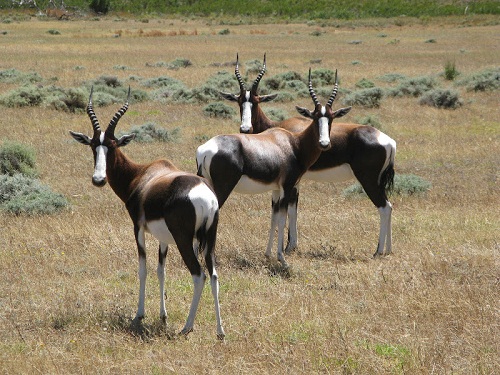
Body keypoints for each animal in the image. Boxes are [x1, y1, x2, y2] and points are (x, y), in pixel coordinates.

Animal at [70, 89, 225, 340]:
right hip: (210, 239)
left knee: (198, 274)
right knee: (213, 275)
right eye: (93, 145)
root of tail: (206, 196)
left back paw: (187, 326)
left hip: (184, 240)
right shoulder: (163, 238)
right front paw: (163, 315)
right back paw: (220, 331)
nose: (98, 179)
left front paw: (139, 315)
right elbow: (161, 270)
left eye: (113, 145)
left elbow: (143, 269)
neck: (142, 174)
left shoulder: (138, 228)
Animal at [196, 69, 352, 266]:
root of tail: (205, 150)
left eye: (330, 118)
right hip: (223, 187)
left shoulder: (276, 190)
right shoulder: (287, 188)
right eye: (315, 117)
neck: (292, 143)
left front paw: (268, 254)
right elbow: (282, 220)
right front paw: (282, 258)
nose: (324, 144)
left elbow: (274, 219)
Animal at [221, 54, 396, 258]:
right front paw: (291, 246)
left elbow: (289, 209)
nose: (245, 129)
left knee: (384, 207)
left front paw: (288, 247)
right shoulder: (294, 181)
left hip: (368, 179)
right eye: (240, 101)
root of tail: (388, 141)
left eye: (256, 101)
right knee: (389, 206)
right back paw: (388, 250)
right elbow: (293, 209)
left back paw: (378, 251)